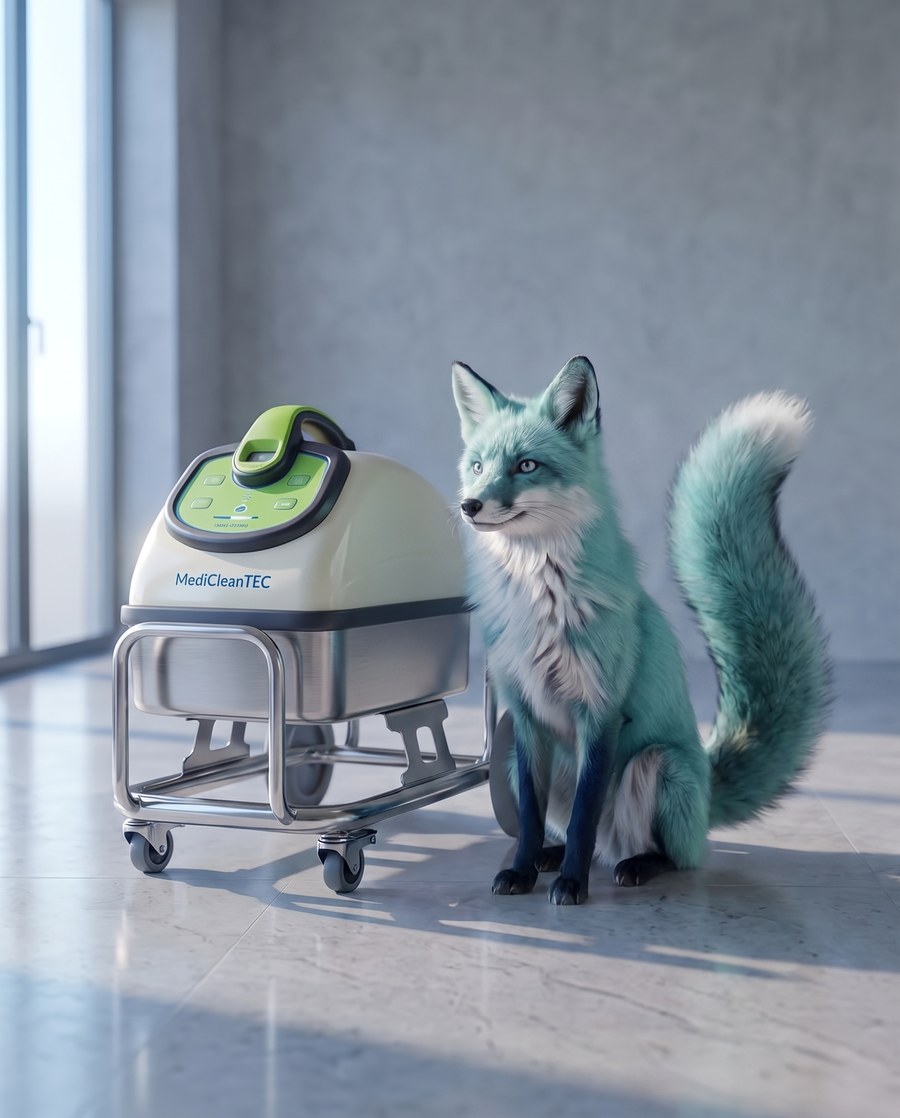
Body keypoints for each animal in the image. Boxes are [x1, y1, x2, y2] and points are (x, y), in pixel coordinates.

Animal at [452, 355, 830, 905]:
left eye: (526, 466)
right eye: (478, 466)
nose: (470, 505)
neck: (539, 601)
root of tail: (707, 790)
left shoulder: (602, 712)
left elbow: (584, 818)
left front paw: (572, 885)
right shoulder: (525, 717)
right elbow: (530, 820)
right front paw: (522, 871)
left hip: (655, 764)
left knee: (661, 854)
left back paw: (632, 865)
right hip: (515, 763)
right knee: (573, 834)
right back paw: (550, 857)